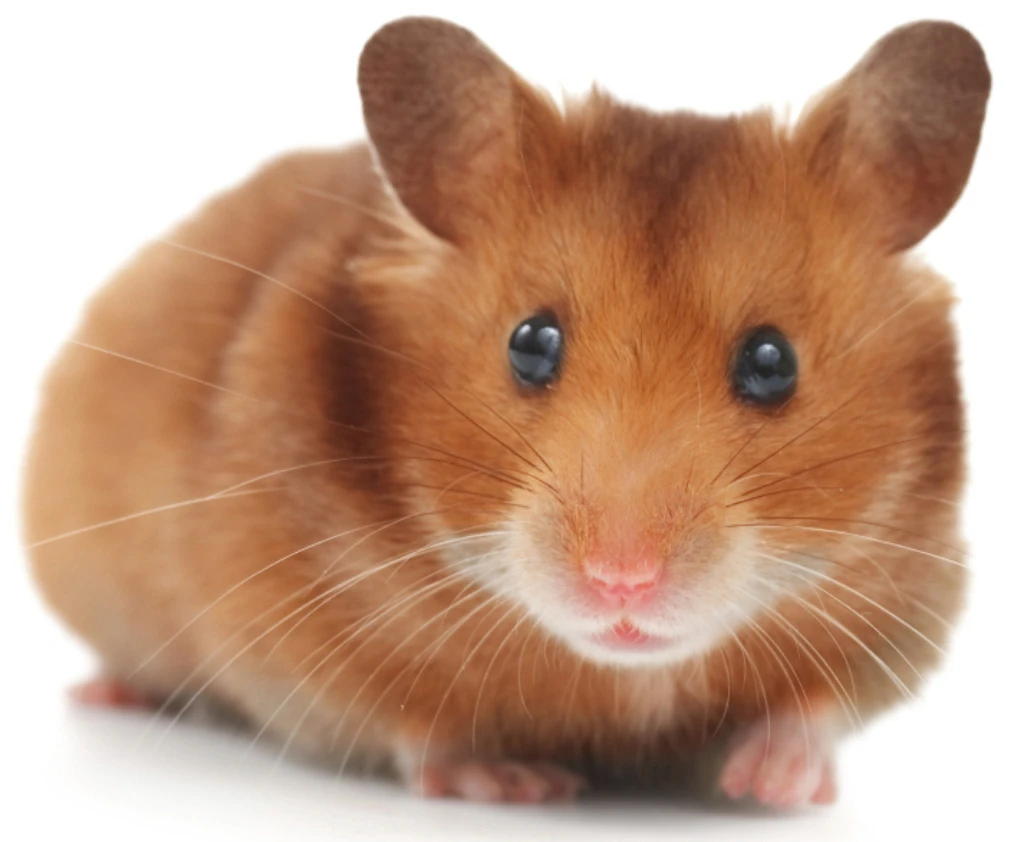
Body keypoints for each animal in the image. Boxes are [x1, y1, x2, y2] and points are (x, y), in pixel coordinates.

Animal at [22, 17, 989, 806]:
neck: (619, 672)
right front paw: (521, 781)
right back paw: (106, 692)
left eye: (771, 362)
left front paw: (774, 786)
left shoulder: (911, 605)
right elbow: (417, 724)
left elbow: (818, 705)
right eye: (530, 343)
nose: (622, 581)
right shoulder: (295, 637)